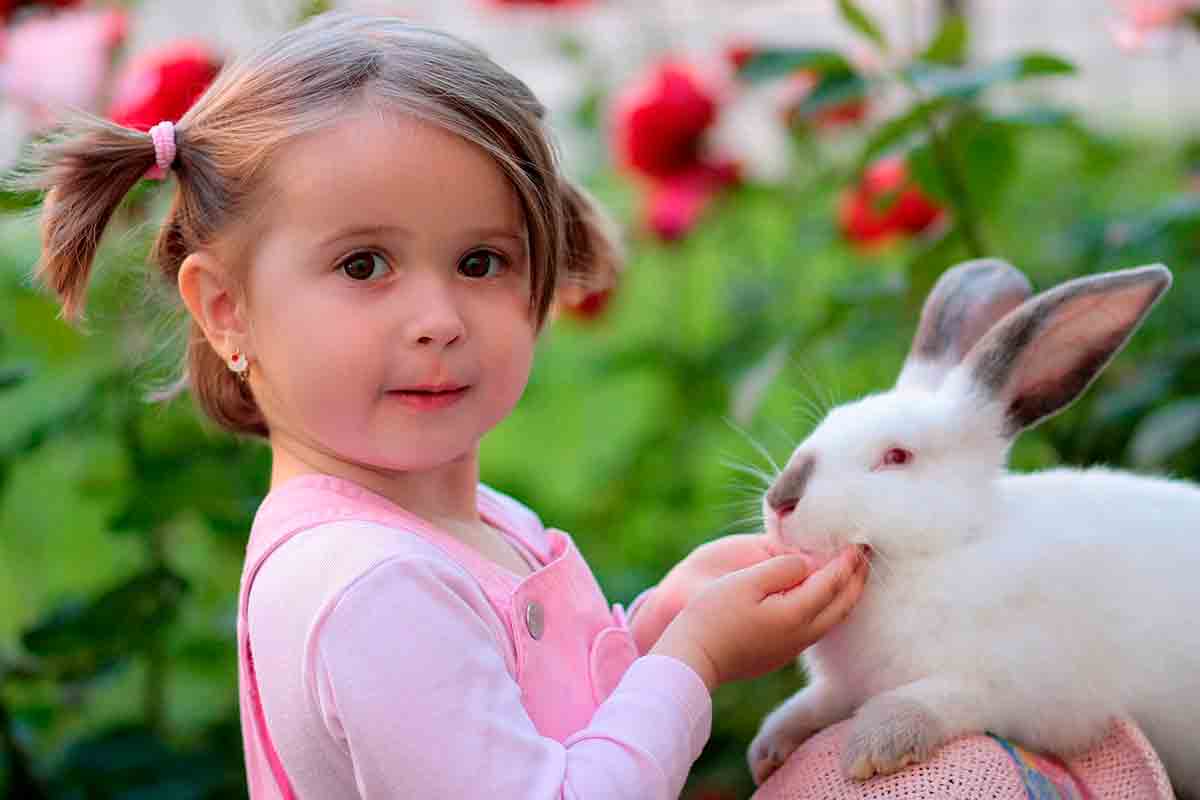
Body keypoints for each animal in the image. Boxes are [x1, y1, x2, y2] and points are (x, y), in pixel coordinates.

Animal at [746, 258, 1200, 799]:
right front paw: (769, 749)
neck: (944, 551)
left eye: (897, 456)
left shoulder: (1017, 689)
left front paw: (876, 747)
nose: (781, 501)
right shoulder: (844, 686)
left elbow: (941, 697)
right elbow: (815, 702)